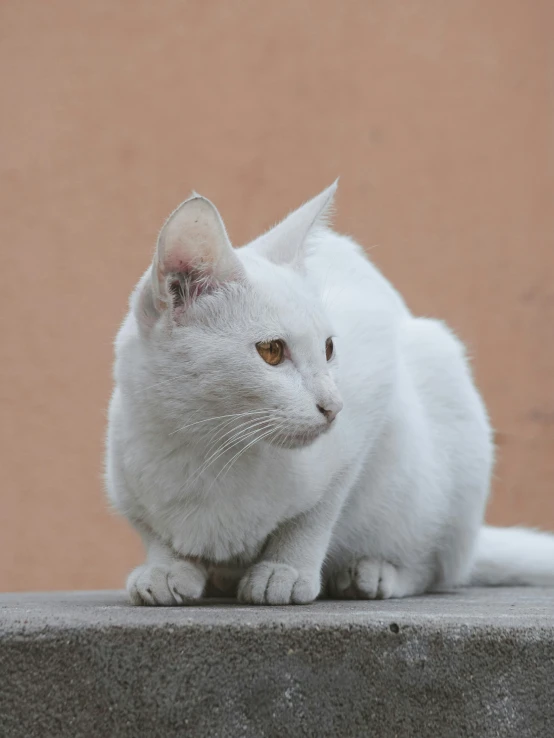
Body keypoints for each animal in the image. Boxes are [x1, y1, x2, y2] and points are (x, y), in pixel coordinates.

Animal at [104, 181, 552, 600]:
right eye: (271, 351)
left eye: (329, 348)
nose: (334, 406)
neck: (206, 449)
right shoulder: (125, 482)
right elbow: (153, 531)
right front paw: (166, 567)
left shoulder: (367, 408)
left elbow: (316, 513)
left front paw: (286, 570)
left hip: (443, 403)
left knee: (435, 567)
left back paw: (373, 573)